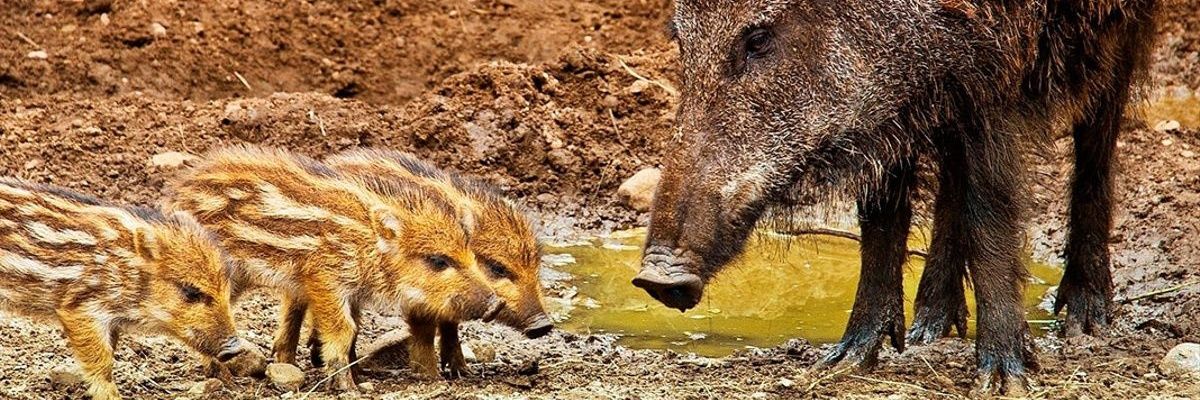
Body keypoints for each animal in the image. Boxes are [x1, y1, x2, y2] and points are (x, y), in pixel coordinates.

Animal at [0, 178, 244, 400]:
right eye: (191, 291)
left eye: (227, 290)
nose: (236, 348)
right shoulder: (81, 308)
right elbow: (102, 361)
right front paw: (111, 396)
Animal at [168, 145, 503, 391]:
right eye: (438, 260)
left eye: (470, 254)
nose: (494, 303)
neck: (369, 246)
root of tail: (178, 192)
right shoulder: (325, 278)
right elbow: (344, 329)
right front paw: (348, 387)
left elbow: (351, 329)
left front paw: (352, 378)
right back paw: (222, 378)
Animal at [317, 149, 551, 377]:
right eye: (498, 268)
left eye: (536, 264)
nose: (544, 325)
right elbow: (425, 330)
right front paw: (431, 377)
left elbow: (450, 325)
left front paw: (462, 372)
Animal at [633, 0, 1159, 394]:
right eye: (681, 41)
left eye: (757, 39)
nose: (657, 277)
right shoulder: (894, 111)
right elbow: (881, 217)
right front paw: (841, 363)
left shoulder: (995, 71)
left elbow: (991, 210)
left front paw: (1002, 381)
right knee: (951, 170)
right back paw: (931, 328)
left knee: (1099, 131)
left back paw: (1085, 320)